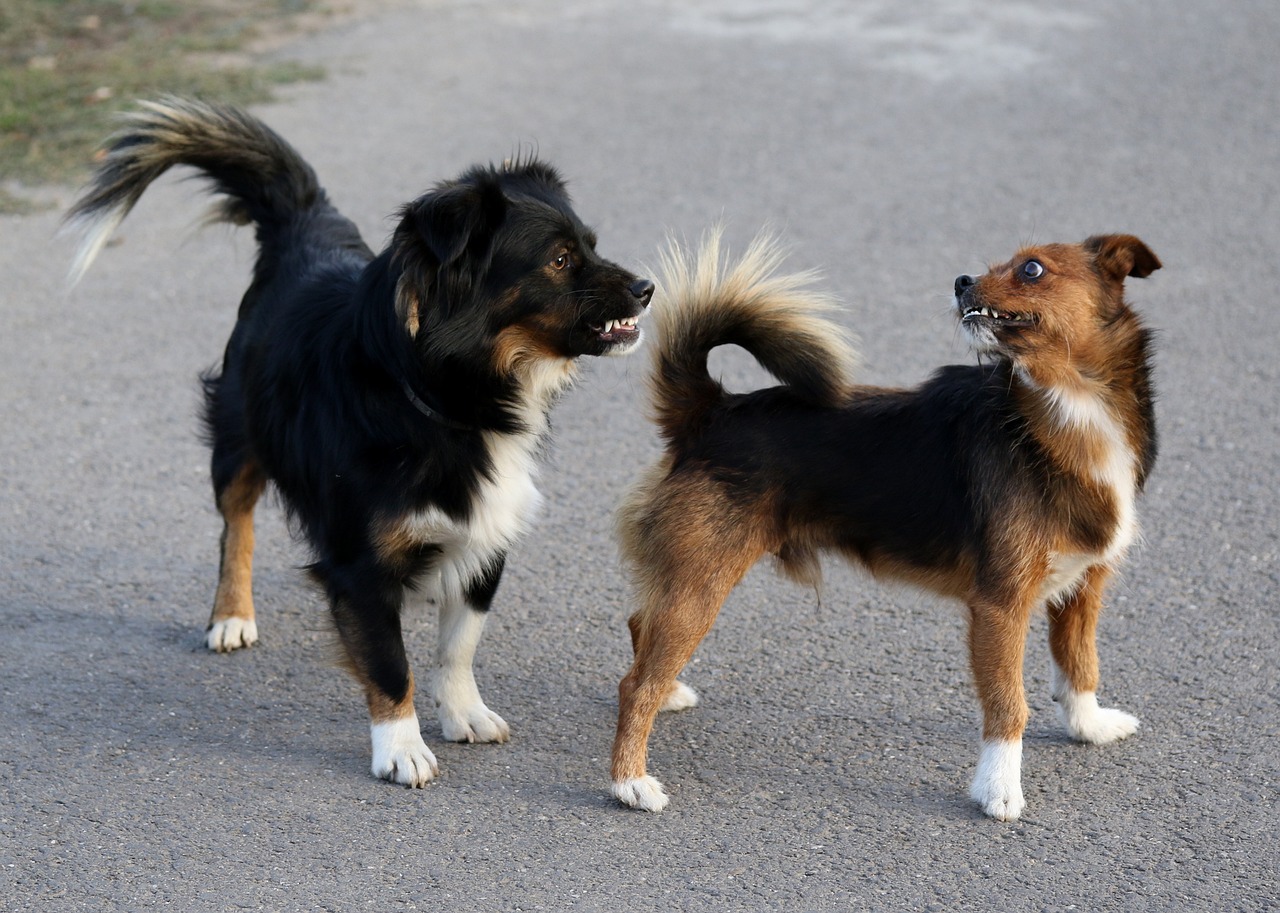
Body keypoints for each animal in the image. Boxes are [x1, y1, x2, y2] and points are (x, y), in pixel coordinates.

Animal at [66, 97, 655, 783]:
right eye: (560, 259)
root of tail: (304, 226)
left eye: (591, 244)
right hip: (239, 435)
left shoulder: (487, 533)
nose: (646, 289)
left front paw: (463, 713)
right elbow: (388, 663)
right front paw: (401, 748)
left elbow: (459, 645)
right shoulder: (360, 564)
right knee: (236, 524)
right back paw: (232, 615)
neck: (440, 395)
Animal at [614, 229, 1167, 819]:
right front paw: (999, 788)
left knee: (640, 628)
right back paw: (629, 781)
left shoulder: (1084, 585)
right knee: (635, 684)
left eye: (1032, 270)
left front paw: (1090, 727)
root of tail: (710, 411)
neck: (1065, 406)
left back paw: (668, 697)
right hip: (702, 581)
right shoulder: (1002, 606)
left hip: (687, 578)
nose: (961, 281)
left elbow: (1079, 665)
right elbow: (1008, 705)